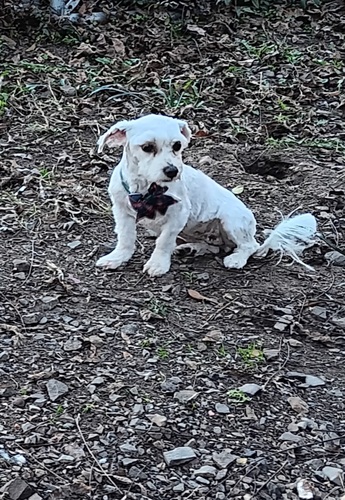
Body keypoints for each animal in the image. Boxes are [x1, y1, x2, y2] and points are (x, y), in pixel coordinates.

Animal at [95, 114, 316, 278]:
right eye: (147, 147)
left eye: (177, 146)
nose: (172, 171)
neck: (147, 191)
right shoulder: (122, 211)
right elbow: (126, 238)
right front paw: (118, 257)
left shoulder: (178, 215)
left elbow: (164, 241)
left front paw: (158, 263)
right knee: (215, 247)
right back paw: (192, 248)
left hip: (232, 221)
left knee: (249, 246)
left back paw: (236, 258)